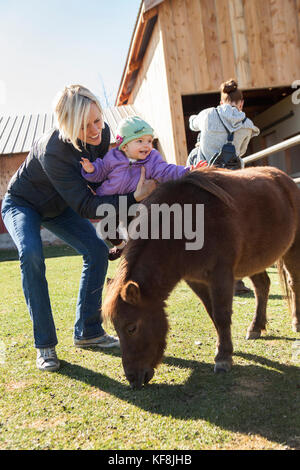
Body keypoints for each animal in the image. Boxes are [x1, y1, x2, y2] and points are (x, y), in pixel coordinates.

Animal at [102, 167, 300, 388]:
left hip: (293, 248)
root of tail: (283, 178)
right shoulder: (195, 281)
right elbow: (212, 314)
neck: (184, 226)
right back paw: (256, 327)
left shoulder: (221, 275)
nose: (132, 378)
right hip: (255, 259)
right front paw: (224, 347)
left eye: (132, 328)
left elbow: (221, 316)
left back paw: (296, 321)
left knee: (293, 284)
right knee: (262, 287)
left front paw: (223, 357)